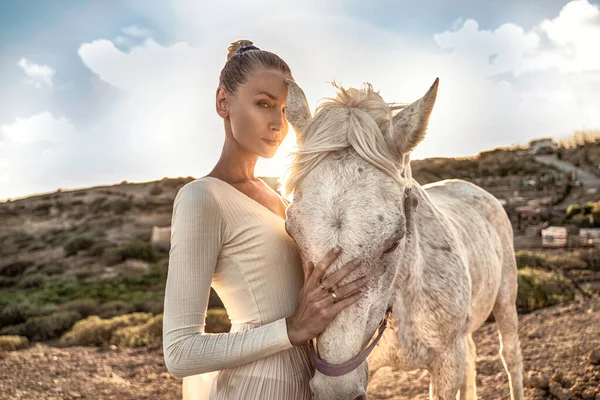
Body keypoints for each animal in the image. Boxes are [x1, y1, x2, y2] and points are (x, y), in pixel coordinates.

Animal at [284, 79, 524, 400]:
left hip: (506, 300)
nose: (336, 390)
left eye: (394, 241)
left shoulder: (447, 362)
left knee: (510, 356)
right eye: (291, 231)